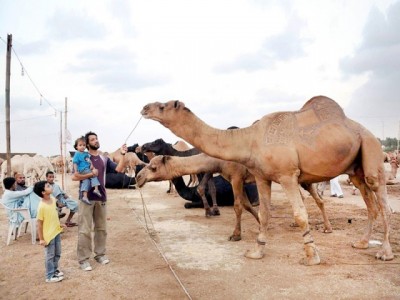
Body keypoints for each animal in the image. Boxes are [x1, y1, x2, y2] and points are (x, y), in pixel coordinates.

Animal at [136, 155, 332, 241]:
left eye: (153, 167)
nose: (138, 178)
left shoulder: (236, 176)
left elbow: (238, 206)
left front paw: (236, 235)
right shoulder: (239, 179)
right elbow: (247, 205)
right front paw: (262, 226)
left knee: (315, 199)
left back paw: (326, 228)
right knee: (314, 199)